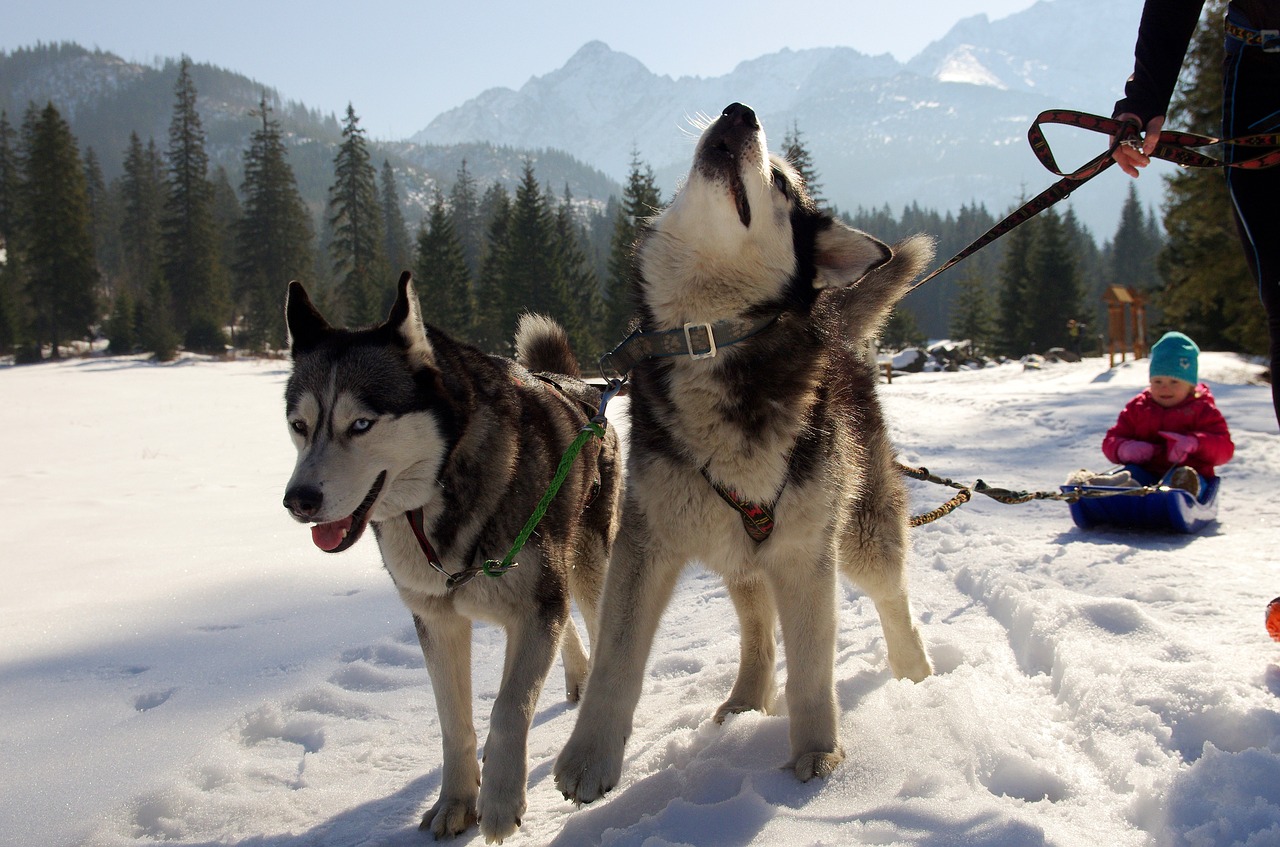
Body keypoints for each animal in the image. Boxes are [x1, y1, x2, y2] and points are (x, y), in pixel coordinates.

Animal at [284, 275, 619, 844]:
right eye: (299, 425)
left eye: (362, 423)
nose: (298, 500)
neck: (434, 505)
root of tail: (579, 385)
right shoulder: (438, 620)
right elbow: (453, 723)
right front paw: (457, 801)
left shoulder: (534, 606)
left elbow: (508, 708)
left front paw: (500, 802)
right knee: (570, 627)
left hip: (587, 562)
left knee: (596, 623)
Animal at [555, 102, 936, 808]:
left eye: (782, 183)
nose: (740, 111)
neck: (709, 337)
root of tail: (834, 325)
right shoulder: (645, 542)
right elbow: (615, 661)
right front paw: (588, 759)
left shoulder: (807, 550)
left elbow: (813, 669)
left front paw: (817, 752)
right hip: (737, 551)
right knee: (758, 628)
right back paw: (747, 698)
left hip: (857, 532)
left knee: (892, 597)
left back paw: (916, 673)